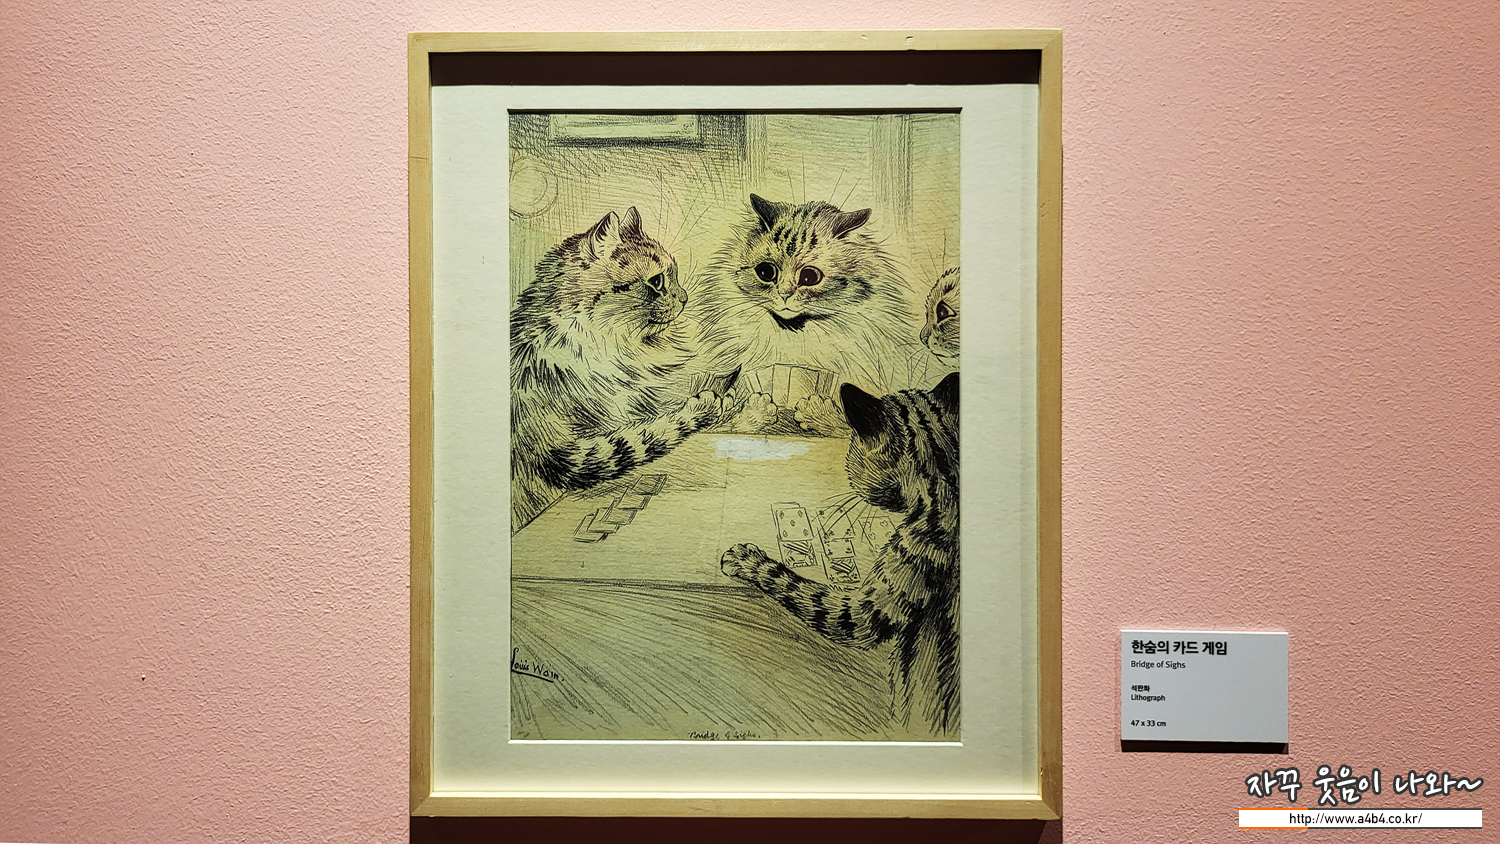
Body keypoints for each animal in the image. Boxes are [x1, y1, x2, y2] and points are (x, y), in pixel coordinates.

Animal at [510, 207, 733, 531]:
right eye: (657, 281)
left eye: (675, 274)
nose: (685, 298)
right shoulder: (573, 452)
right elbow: (655, 431)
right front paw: (712, 406)